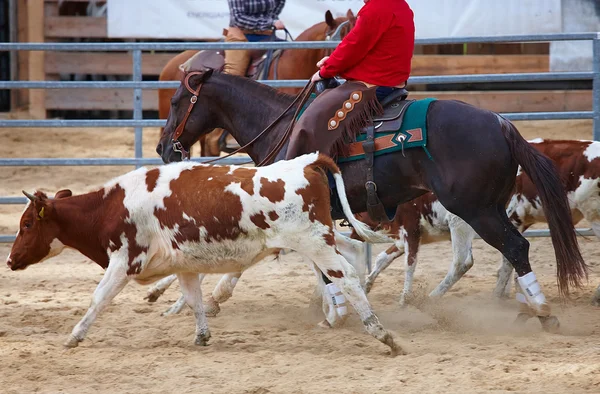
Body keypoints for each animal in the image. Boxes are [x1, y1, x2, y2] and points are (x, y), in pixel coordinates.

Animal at [7, 153, 400, 354]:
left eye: (26, 224)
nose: (10, 260)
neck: (112, 206)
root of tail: (307, 162)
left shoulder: (124, 260)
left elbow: (98, 298)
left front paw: (75, 335)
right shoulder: (184, 265)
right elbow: (193, 299)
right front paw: (201, 335)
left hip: (313, 241)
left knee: (346, 276)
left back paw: (381, 333)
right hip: (322, 237)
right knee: (351, 255)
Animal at [352, 140, 600, 306]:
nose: (353, 236)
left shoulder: (411, 230)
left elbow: (409, 264)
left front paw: (404, 299)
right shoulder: (407, 237)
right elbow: (383, 258)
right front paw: (366, 285)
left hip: (462, 222)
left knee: (463, 261)